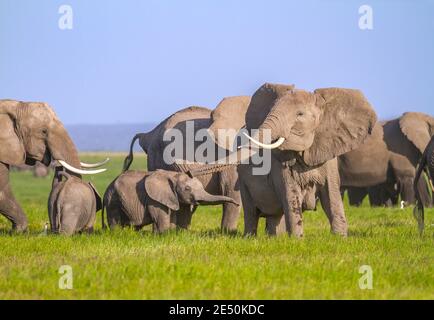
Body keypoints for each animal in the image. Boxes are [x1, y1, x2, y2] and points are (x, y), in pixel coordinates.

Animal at [101, 170, 237, 232]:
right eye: (187, 189)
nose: (237, 203)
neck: (173, 175)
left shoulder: (173, 197)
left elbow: (175, 215)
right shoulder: (154, 199)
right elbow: (161, 216)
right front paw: (164, 234)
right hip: (113, 200)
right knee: (115, 220)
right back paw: (118, 234)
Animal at [208, 82, 376, 238]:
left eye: (300, 114)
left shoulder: (328, 155)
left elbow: (331, 195)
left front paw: (340, 238)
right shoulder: (280, 165)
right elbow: (291, 195)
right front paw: (297, 240)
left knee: (275, 214)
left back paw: (275, 238)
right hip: (242, 180)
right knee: (251, 210)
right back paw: (250, 237)